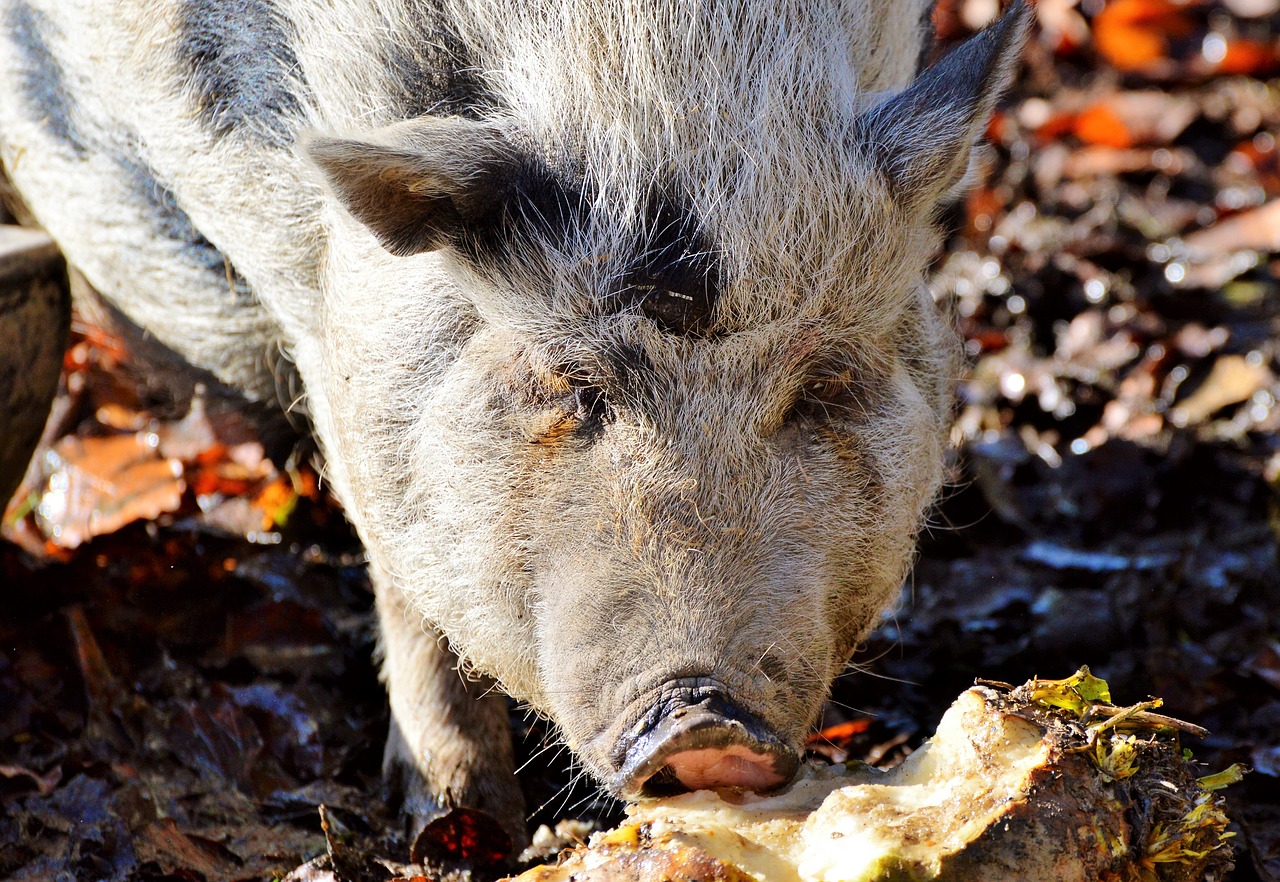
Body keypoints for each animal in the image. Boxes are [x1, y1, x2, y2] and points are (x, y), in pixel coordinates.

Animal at [0, 0, 1024, 860]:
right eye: (574, 386)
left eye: (819, 387)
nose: (703, 722)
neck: (650, 62)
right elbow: (402, 575)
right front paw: (459, 822)